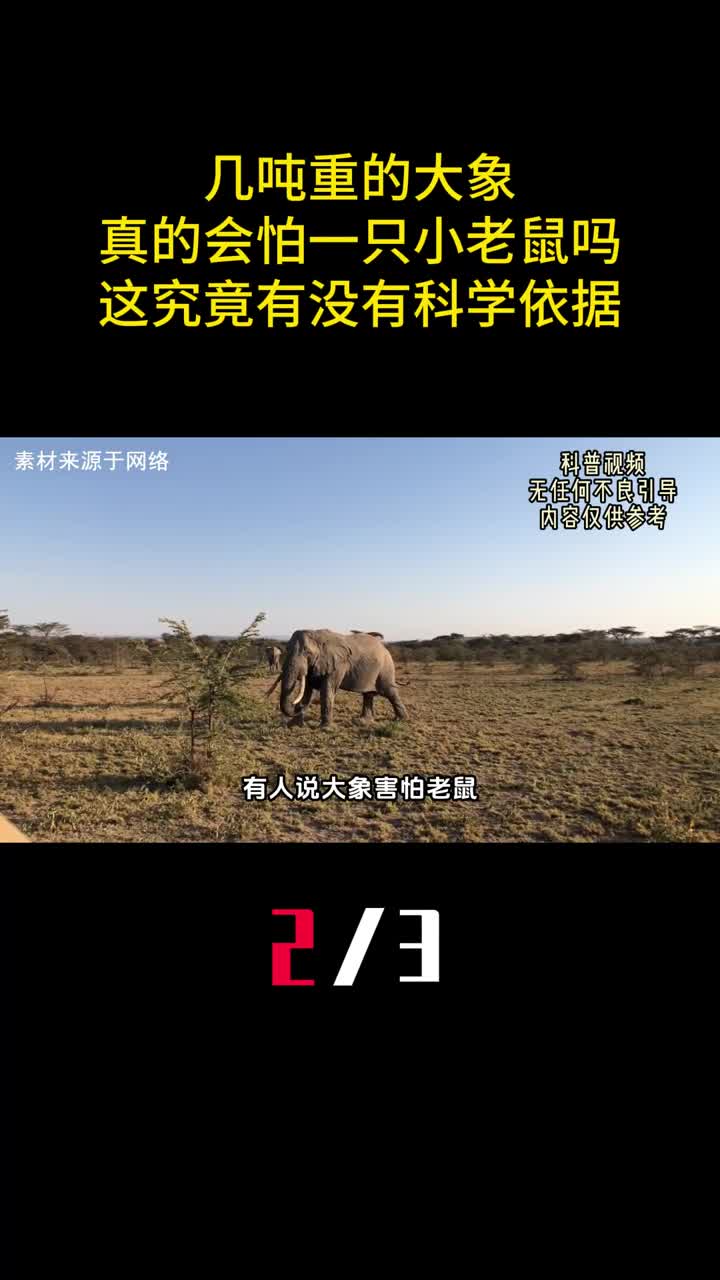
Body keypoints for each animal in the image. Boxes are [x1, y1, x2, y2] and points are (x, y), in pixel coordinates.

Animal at [267, 628, 408, 728]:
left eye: (307, 652)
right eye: (287, 649)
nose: (296, 707)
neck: (317, 635)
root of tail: (384, 647)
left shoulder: (338, 664)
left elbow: (327, 689)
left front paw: (326, 728)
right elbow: (307, 690)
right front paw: (293, 725)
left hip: (385, 667)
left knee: (389, 691)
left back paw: (401, 720)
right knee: (368, 695)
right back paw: (362, 722)